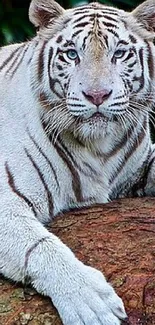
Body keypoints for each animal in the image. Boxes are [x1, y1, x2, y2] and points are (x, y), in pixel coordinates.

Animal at [0, 0, 155, 322]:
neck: (99, 149)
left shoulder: (143, 164)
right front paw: (90, 301)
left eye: (119, 53)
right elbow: (40, 247)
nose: (97, 95)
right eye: (72, 54)